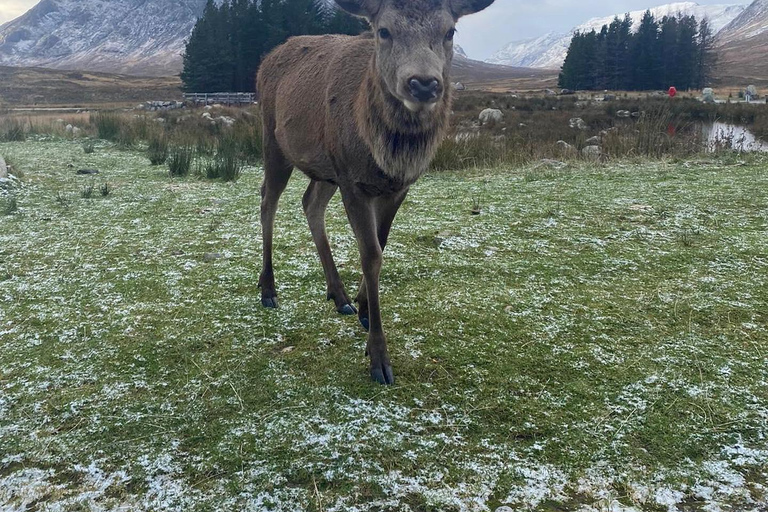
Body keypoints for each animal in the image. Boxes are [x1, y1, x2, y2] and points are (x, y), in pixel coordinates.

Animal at [256, 0, 498, 384]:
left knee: (310, 203)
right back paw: (268, 289)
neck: (386, 155)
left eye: (450, 31)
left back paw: (338, 294)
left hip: (326, 168)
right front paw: (378, 356)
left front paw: (364, 307)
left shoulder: (397, 187)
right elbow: (370, 255)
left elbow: (381, 246)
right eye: (383, 30)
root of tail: (268, 58)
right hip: (274, 139)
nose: (424, 84)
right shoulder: (353, 182)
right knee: (268, 200)